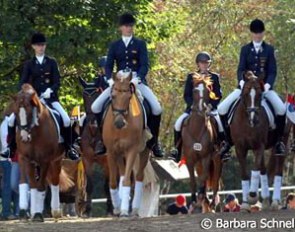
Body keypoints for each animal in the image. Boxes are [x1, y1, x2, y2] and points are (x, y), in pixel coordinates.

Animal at [12, 84, 72, 222]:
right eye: (16, 112)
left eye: (30, 112)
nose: (24, 137)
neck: (34, 131)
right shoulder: (25, 158)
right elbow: (26, 183)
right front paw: (24, 211)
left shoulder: (45, 160)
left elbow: (40, 186)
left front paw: (38, 214)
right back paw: (34, 211)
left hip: (56, 161)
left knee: (54, 182)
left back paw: (55, 210)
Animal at [77, 77, 112, 217]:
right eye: (84, 96)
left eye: (97, 95)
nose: (92, 121)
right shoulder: (87, 160)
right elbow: (89, 186)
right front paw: (87, 210)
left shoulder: (107, 162)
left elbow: (107, 186)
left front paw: (110, 210)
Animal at [103, 70, 150, 218]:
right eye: (113, 96)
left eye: (129, 97)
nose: (120, 123)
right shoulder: (111, 151)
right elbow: (113, 182)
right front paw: (118, 208)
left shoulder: (132, 150)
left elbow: (127, 181)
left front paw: (124, 210)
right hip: (119, 153)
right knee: (123, 174)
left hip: (144, 151)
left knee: (139, 177)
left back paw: (134, 208)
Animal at [182, 72, 223, 212]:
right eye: (195, 90)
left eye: (208, 90)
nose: (201, 109)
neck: (196, 128)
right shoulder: (190, 158)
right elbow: (193, 180)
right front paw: (194, 201)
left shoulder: (206, 157)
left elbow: (204, 178)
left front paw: (202, 197)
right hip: (199, 163)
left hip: (216, 159)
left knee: (215, 180)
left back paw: (212, 202)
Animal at [231, 71, 282, 211]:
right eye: (245, 94)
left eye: (260, 95)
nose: (253, 120)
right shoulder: (240, 148)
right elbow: (244, 174)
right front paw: (245, 204)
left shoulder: (259, 146)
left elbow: (254, 169)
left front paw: (252, 196)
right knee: (263, 170)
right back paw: (265, 201)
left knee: (278, 171)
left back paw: (275, 202)